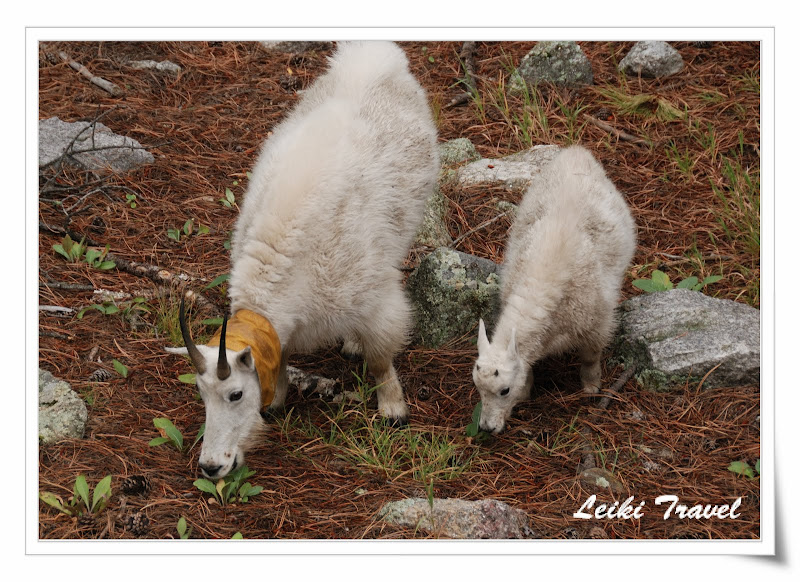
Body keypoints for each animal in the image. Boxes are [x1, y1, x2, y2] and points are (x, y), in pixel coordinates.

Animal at [169, 41, 440, 480]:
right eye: (200, 392)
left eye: (236, 394)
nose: (211, 466)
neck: (284, 265)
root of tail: (375, 54)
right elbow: (280, 359)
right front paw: (278, 400)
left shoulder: (375, 299)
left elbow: (381, 355)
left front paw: (393, 410)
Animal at [472, 148, 636, 436]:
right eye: (478, 387)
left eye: (504, 390)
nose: (487, 428)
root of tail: (577, 151)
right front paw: (526, 391)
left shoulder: (596, 322)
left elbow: (591, 356)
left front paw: (591, 387)